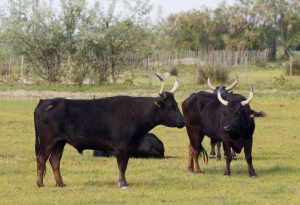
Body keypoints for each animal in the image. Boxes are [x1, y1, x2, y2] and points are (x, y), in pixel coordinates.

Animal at [34, 74, 184, 189]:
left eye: (176, 104)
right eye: (169, 106)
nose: (183, 122)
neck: (135, 113)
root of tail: (45, 101)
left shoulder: (128, 148)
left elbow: (125, 165)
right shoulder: (120, 146)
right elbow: (122, 165)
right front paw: (122, 184)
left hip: (60, 142)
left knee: (54, 160)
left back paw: (60, 183)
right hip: (48, 141)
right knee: (42, 158)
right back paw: (40, 184)